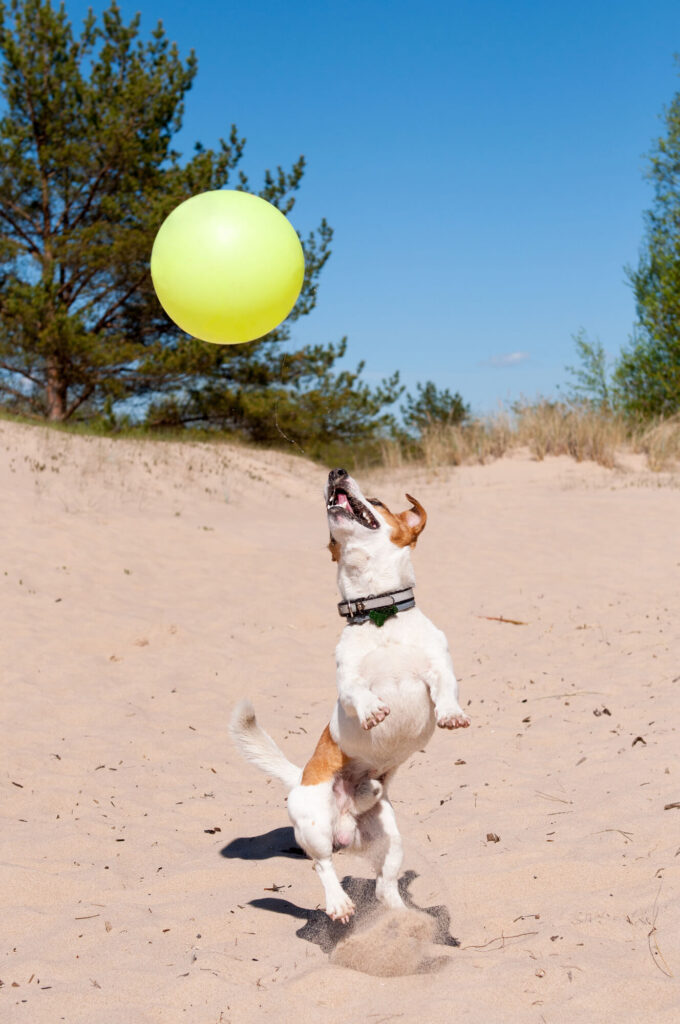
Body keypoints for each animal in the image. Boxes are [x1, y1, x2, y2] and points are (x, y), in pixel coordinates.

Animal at [231, 471, 471, 929]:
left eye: (376, 501)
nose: (335, 473)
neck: (379, 616)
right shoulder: (347, 682)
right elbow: (358, 693)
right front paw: (374, 710)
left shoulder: (438, 666)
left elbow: (447, 689)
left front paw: (452, 714)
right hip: (313, 826)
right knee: (323, 865)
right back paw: (340, 904)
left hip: (390, 838)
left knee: (384, 885)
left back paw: (404, 918)